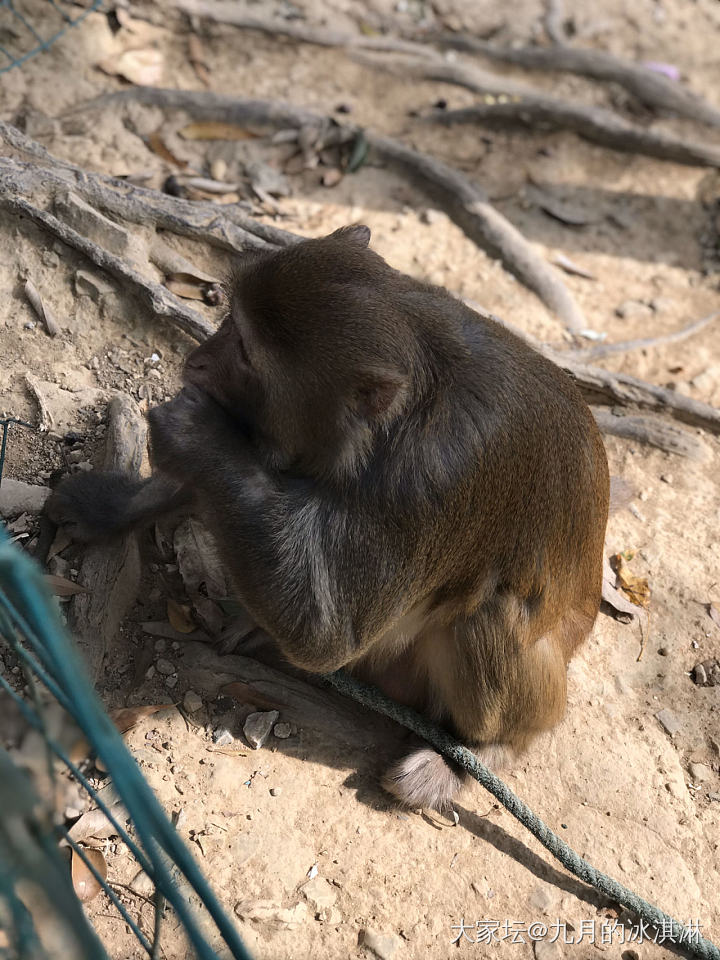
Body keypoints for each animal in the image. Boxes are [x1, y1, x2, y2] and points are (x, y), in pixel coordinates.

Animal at [46, 225, 608, 808]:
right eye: (229, 321)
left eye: (244, 350)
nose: (197, 360)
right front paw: (111, 507)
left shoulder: (437, 476)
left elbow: (328, 635)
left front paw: (193, 434)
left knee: (490, 614)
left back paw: (478, 756)